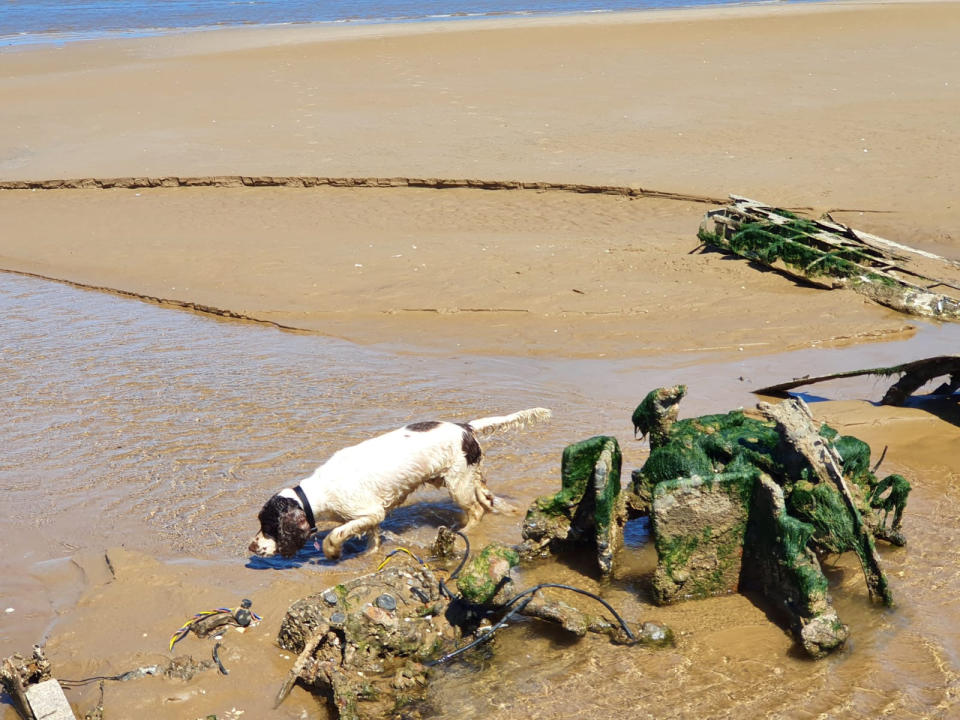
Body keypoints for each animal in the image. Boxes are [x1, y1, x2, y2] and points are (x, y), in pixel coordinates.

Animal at [248, 408, 548, 560]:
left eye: (268, 526)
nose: (251, 548)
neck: (318, 492)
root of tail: (465, 427)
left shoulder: (371, 512)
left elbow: (337, 533)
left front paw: (333, 553)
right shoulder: (371, 518)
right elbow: (372, 538)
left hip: (457, 484)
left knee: (476, 510)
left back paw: (466, 531)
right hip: (468, 476)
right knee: (486, 498)